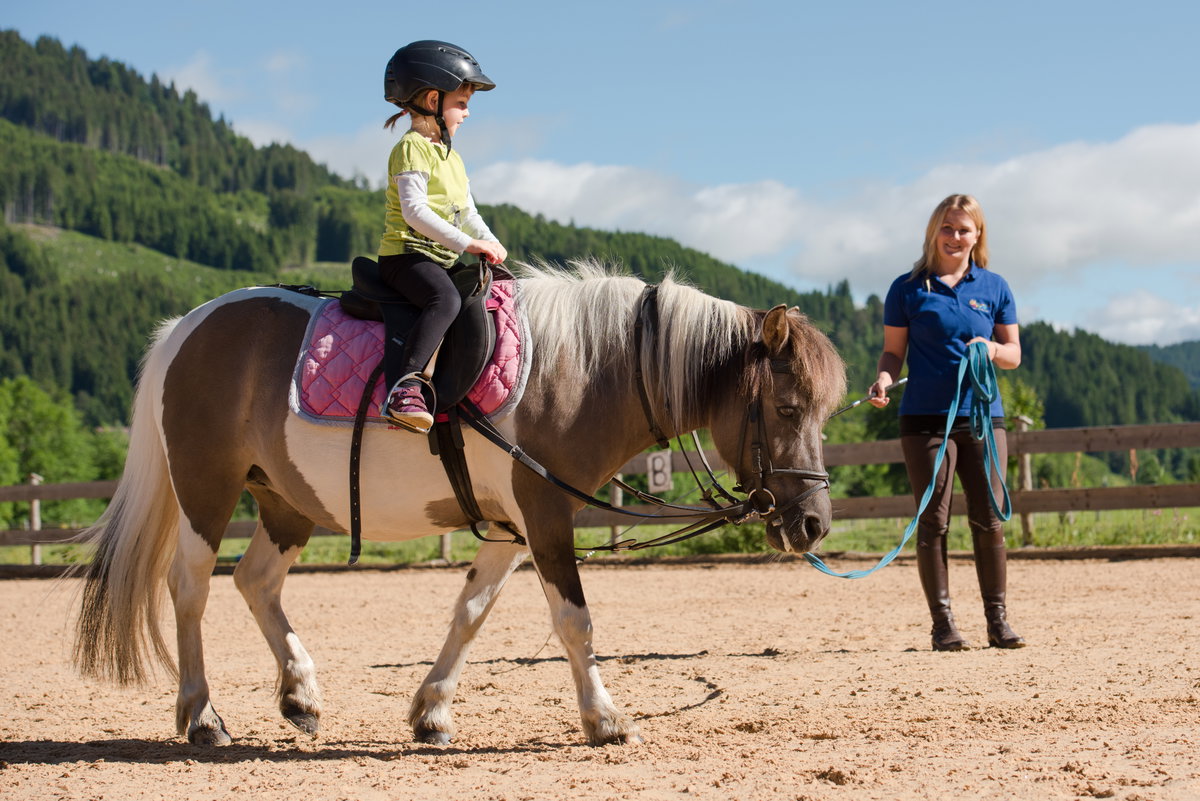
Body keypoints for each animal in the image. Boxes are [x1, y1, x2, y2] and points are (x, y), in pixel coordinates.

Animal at [70, 261, 847, 747]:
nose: (813, 524)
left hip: (288, 500)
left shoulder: (508, 526)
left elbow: (470, 612)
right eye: (786, 407)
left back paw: (300, 694)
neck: (583, 371)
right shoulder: (544, 513)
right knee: (190, 586)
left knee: (255, 581)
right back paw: (203, 716)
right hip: (207, 487)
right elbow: (575, 621)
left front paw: (432, 711)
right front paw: (604, 718)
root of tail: (186, 326)